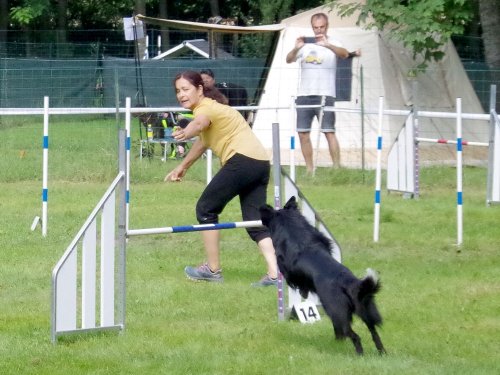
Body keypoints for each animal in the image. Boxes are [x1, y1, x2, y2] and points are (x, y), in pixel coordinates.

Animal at [260, 197, 384, 356]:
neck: (292, 228)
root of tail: (347, 282)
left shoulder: (286, 268)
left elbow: (294, 280)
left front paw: (302, 292)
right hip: (365, 308)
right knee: (373, 331)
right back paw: (381, 352)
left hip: (336, 311)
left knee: (353, 334)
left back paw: (359, 353)